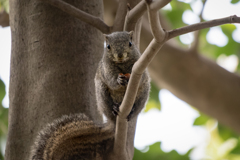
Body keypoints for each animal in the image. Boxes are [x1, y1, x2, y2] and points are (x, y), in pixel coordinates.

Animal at [30, 30, 150, 159]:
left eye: (130, 43)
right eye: (108, 46)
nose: (120, 55)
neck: (122, 64)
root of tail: (112, 122)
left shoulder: (139, 66)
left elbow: (141, 78)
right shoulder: (106, 68)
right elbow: (111, 80)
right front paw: (118, 80)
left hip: (144, 94)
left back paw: (132, 111)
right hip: (102, 93)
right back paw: (114, 108)